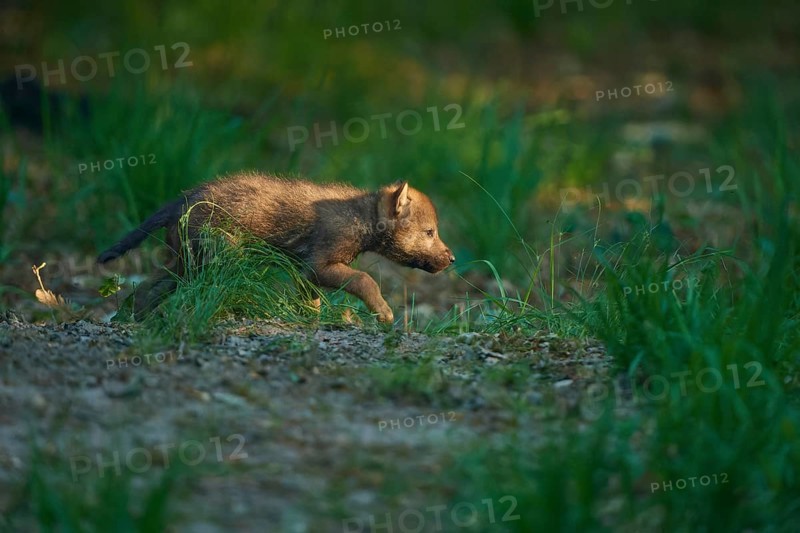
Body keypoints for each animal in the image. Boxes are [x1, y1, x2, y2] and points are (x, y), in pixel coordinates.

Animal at [97, 172, 455, 323]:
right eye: (430, 232)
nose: (451, 258)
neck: (360, 217)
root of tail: (182, 199)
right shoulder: (319, 265)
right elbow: (364, 280)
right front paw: (383, 313)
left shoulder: (305, 272)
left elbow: (310, 301)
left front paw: (313, 320)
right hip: (215, 259)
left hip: (185, 263)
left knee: (148, 287)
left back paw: (133, 319)